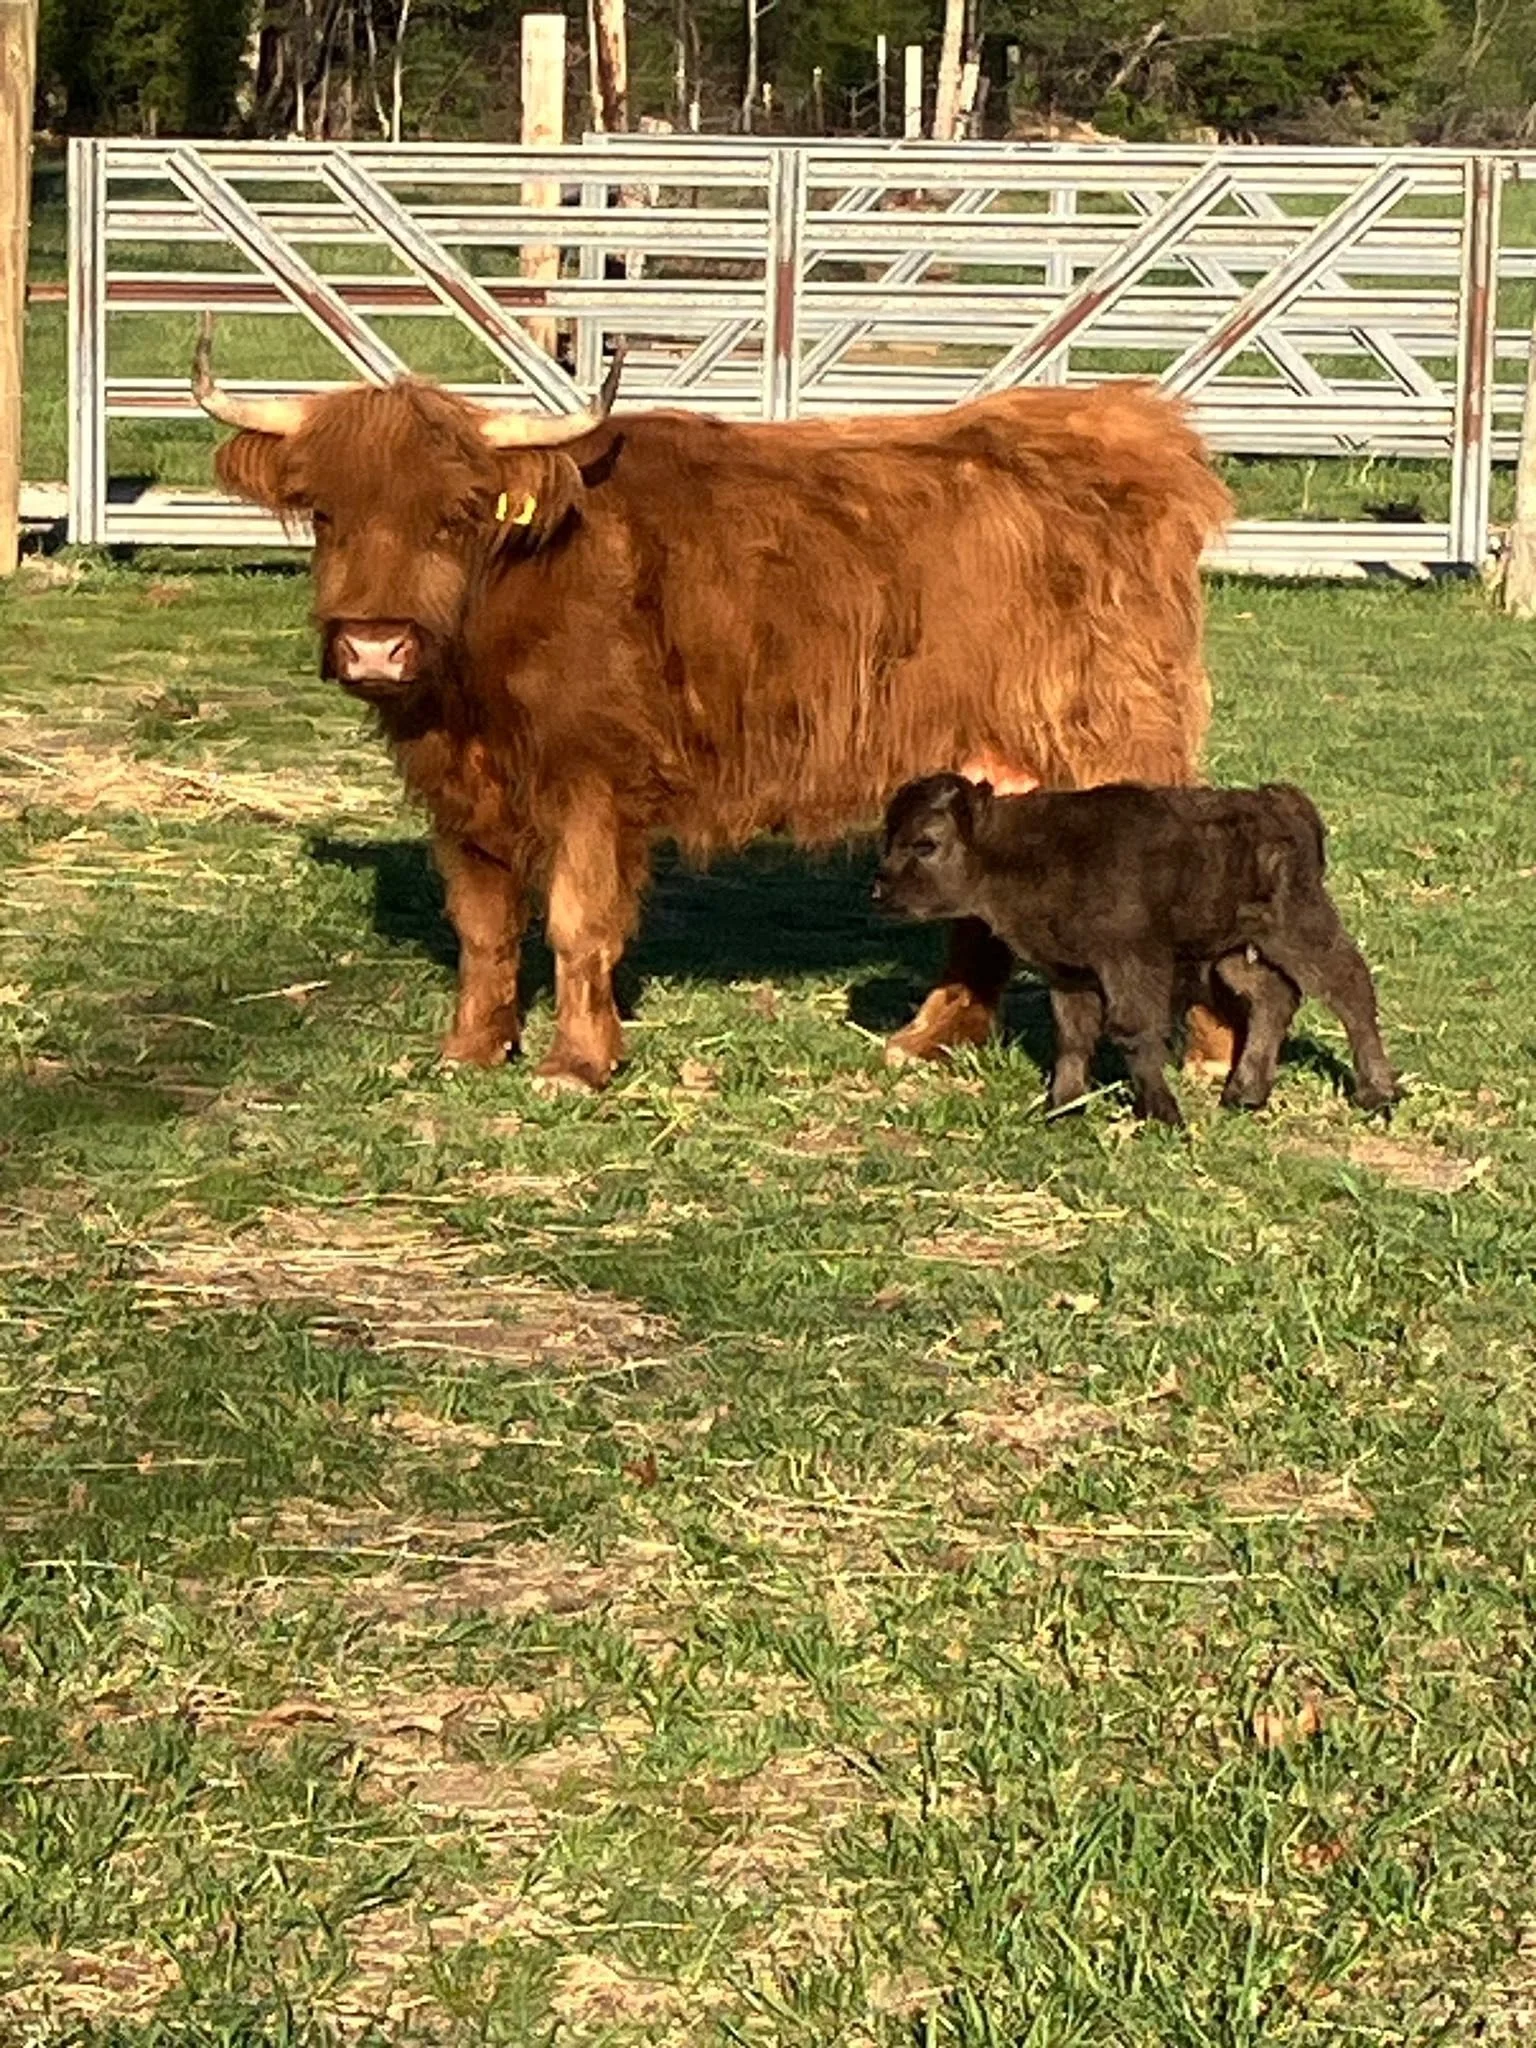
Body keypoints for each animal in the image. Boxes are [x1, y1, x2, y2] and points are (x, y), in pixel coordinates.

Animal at [193, 324, 1232, 1092]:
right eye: (325, 512)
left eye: (456, 515)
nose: (374, 645)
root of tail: (1130, 429)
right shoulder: (460, 793)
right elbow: (484, 930)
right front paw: (471, 1050)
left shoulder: (595, 780)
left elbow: (576, 922)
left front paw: (576, 1064)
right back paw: (927, 1039)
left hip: (1113, 744)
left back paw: (1212, 1056)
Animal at [873, 773, 1399, 1126]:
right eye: (888, 838)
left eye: (926, 843)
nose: (880, 891)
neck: (1023, 852)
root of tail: (1281, 800)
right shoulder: (1069, 973)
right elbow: (1073, 1036)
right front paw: (1061, 1107)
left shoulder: (1131, 962)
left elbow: (1133, 1031)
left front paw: (1163, 1114)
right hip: (1230, 949)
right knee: (1273, 997)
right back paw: (1244, 1094)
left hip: (1298, 927)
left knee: (1348, 986)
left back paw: (1377, 1093)